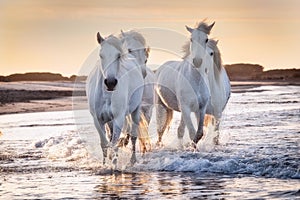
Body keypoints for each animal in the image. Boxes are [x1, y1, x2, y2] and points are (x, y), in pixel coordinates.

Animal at [85, 33, 145, 166]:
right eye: (101, 55)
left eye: (118, 56)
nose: (110, 82)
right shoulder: (98, 120)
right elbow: (104, 143)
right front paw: (104, 164)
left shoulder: (118, 118)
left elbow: (114, 144)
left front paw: (114, 164)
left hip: (135, 111)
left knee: (133, 136)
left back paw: (132, 160)